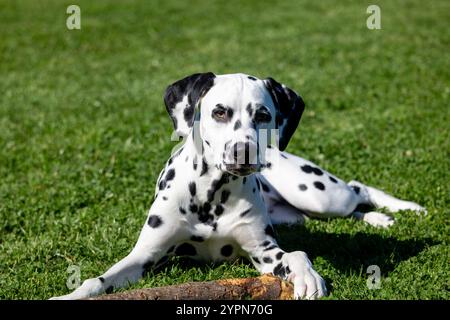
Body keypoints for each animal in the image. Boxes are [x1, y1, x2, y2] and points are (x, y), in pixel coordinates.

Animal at [51, 72, 424, 300]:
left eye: (263, 115)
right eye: (219, 112)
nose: (243, 151)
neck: (210, 195)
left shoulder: (265, 253)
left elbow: (297, 255)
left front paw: (308, 277)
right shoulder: (145, 255)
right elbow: (98, 280)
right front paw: (70, 294)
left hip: (319, 194)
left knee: (357, 188)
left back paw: (400, 210)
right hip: (302, 213)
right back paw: (378, 218)